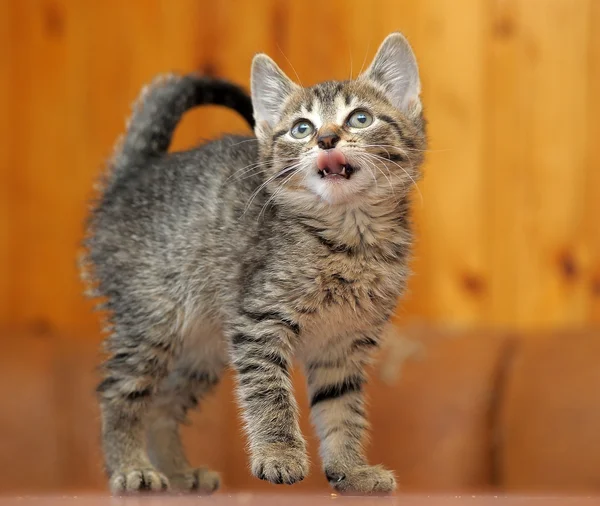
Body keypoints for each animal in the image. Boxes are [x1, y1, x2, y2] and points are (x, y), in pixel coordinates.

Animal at [83, 31, 426, 494]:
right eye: (302, 128)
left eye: (359, 118)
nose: (326, 139)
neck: (350, 238)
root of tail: (132, 177)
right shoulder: (259, 323)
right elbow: (269, 394)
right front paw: (279, 455)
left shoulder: (344, 344)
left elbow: (341, 410)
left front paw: (350, 470)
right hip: (152, 321)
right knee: (119, 392)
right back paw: (131, 467)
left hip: (202, 351)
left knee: (163, 405)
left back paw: (179, 472)